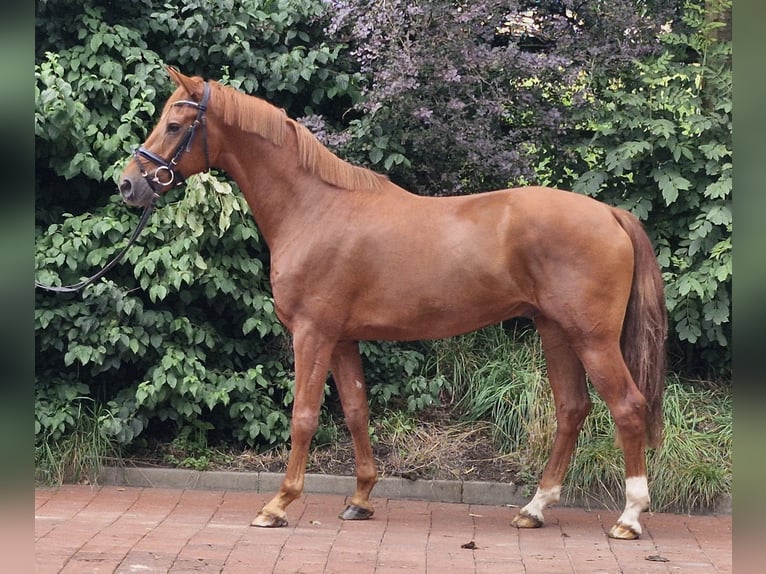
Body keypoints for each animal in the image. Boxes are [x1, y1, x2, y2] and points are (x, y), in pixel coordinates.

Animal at [118, 70, 664, 544]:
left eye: (173, 125)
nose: (129, 184)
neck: (314, 207)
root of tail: (610, 214)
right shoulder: (342, 338)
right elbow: (357, 411)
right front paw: (360, 499)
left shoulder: (312, 334)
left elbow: (304, 415)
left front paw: (278, 504)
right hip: (555, 332)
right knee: (572, 409)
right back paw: (534, 509)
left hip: (591, 338)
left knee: (627, 406)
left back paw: (629, 517)